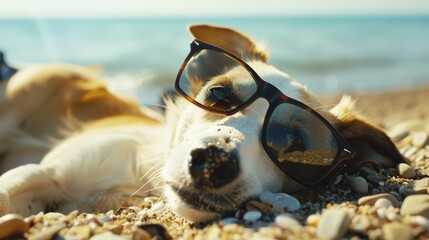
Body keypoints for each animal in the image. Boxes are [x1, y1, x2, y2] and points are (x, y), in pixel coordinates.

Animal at [0, 24, 404, 223]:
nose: (212, 162)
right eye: (218, 94)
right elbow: (10, 189)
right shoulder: (45, 171)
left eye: (294, 143)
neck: (139, 175)